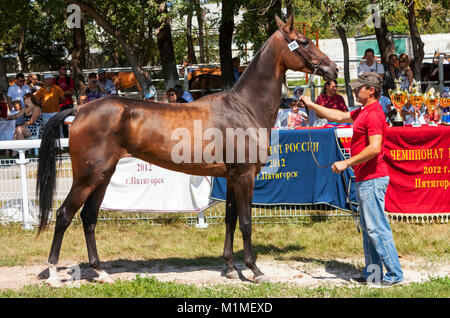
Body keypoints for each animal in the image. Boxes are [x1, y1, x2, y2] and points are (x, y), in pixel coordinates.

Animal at [37, 14, 336, 288]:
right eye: (304, 41)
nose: (332, 69)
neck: (244, 108)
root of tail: (81, 109)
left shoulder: (231, 178)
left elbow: (230, 220)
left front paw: (230, 268)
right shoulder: (244, 177)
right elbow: (246, 222)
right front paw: (255, 270)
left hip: (103, 176)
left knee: (88, 217)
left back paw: (101, 273)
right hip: (87, 177)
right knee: (64, 215)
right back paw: (52, 275)